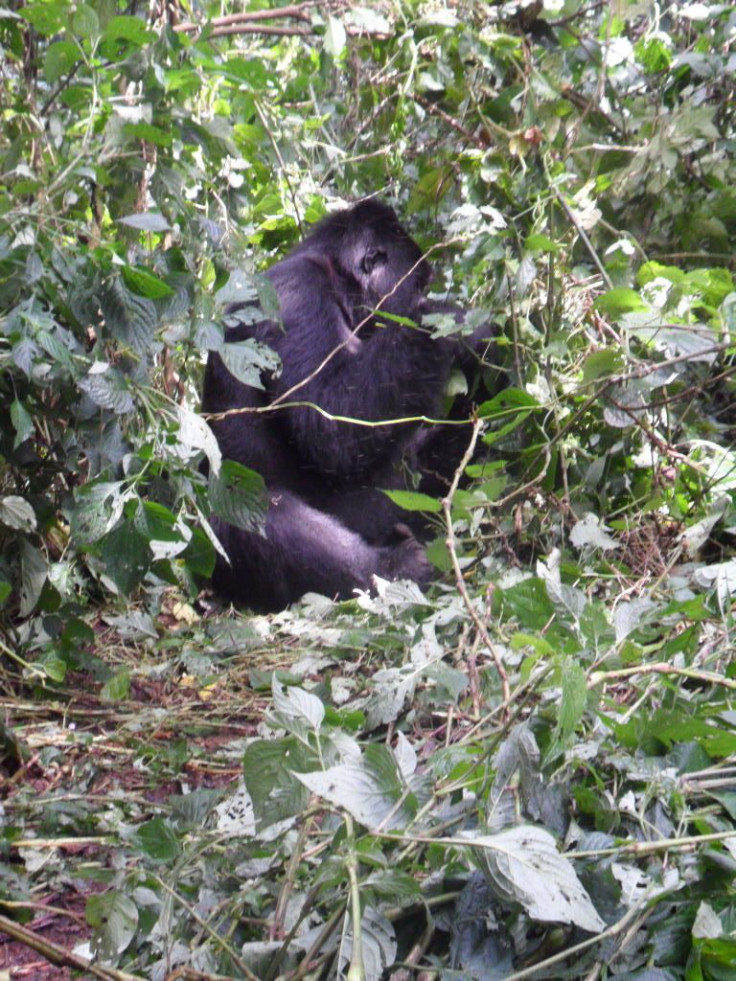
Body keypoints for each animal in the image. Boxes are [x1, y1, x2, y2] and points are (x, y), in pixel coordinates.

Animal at [203, 200, 488, 608]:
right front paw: (449, 323)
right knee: (254, 512)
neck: (337, 279)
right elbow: (332, 424)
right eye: (420, 286)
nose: (427, 293)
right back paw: (391, 569)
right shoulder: (296, 295)